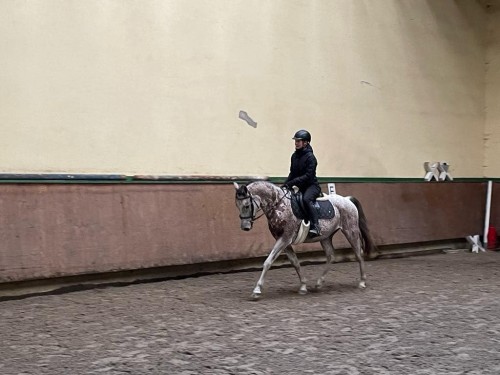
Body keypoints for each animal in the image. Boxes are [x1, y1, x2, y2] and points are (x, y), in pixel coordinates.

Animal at [232, 181, 376, 302]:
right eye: (237, 205)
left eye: (246, 205)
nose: (245, 227)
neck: (279, 205)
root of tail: (347, 199)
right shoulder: (284, 241)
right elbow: (295, 262)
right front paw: (303, 286)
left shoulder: (285, 238)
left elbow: (268, 262)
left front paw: (257, 290)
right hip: (325, 237)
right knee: (331, 256)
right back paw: (319, 283)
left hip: (350, 231)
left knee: (358, 253)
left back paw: (362, 282)